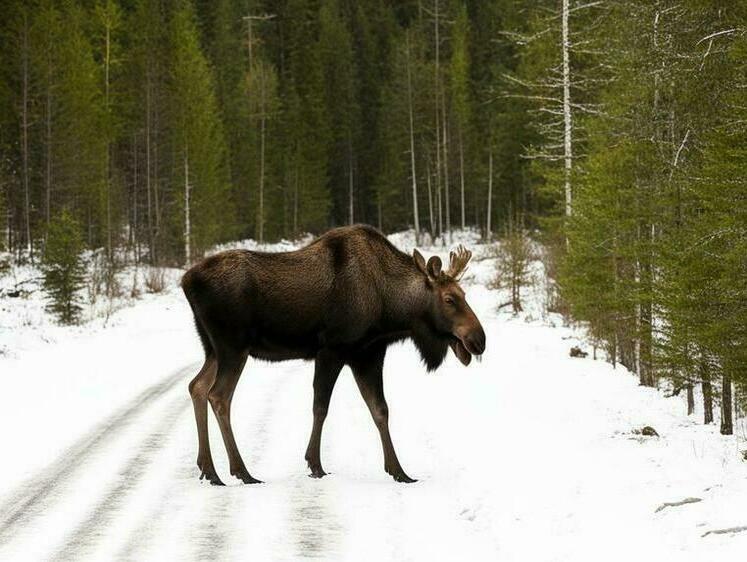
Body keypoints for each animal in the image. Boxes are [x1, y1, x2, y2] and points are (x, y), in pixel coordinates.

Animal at [181, 222, 486, 482]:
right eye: (450, 299)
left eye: (465, 295)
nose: (479, 339)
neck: (391, 311)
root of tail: (186, 281)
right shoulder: (332, 349)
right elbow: (321, 407)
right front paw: (315, 464)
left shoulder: (368, 353)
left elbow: (380, 410)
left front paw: (399, 471)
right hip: (233, 346)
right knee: (219, 396)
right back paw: (241, 471)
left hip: (213, 349)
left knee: (197, 386)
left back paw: (209, 470)